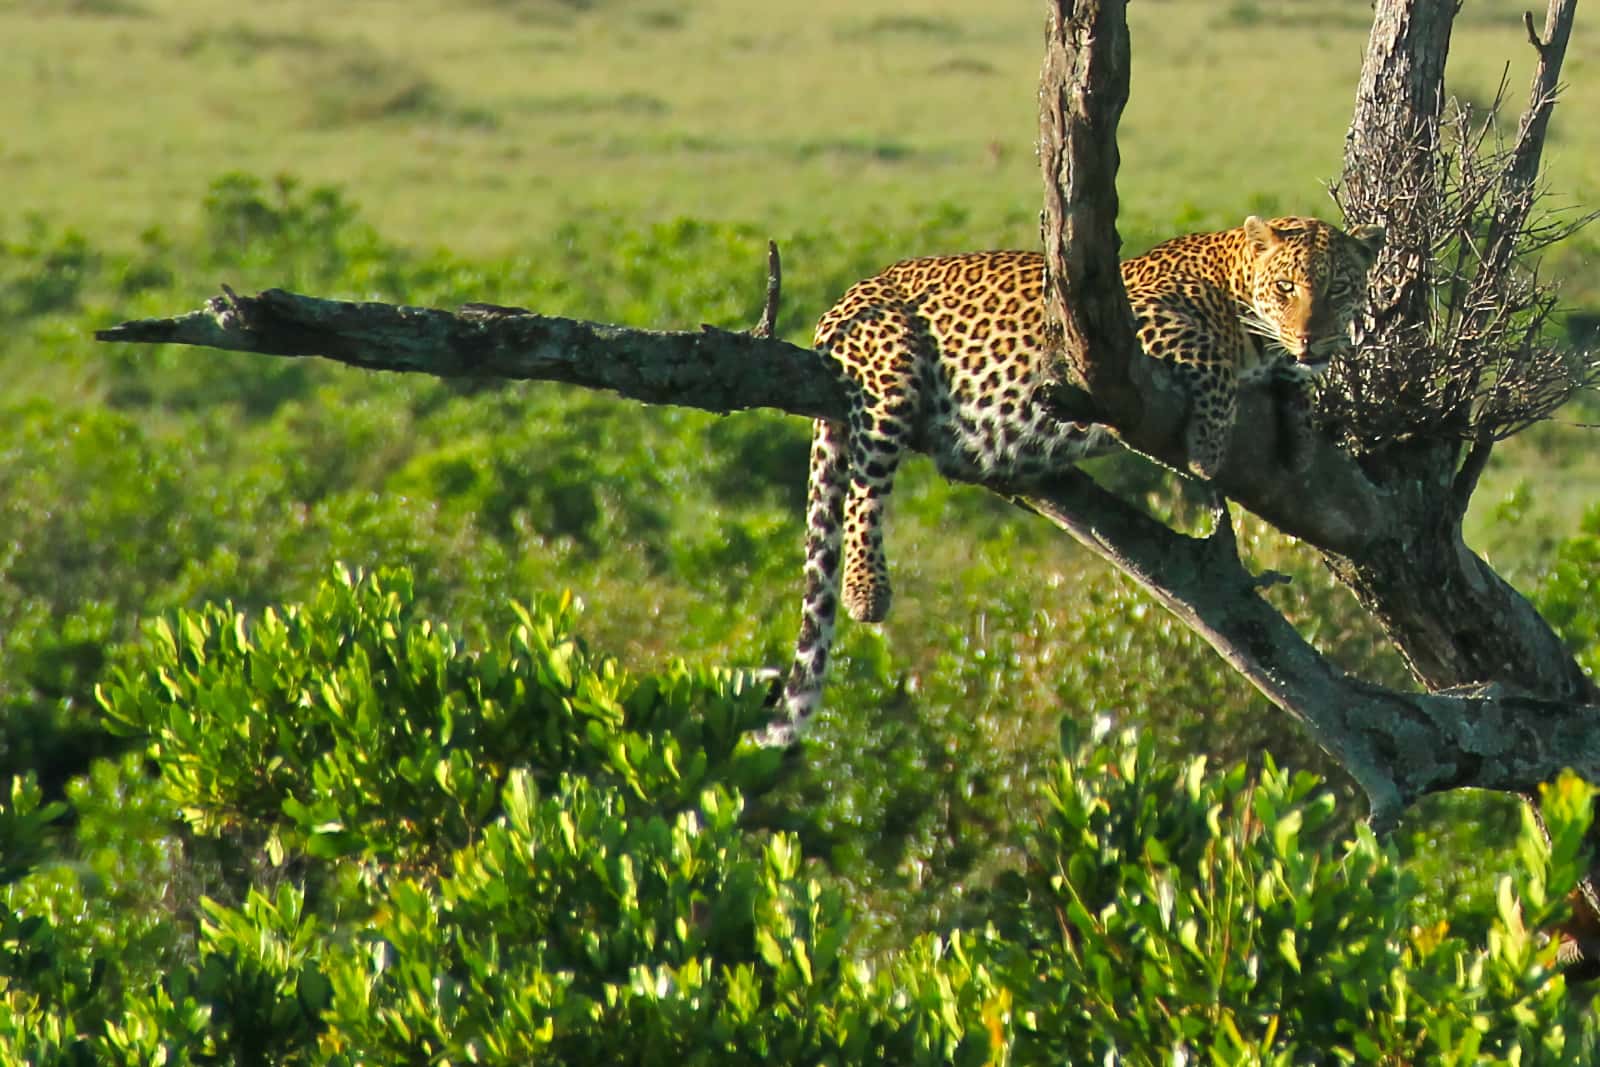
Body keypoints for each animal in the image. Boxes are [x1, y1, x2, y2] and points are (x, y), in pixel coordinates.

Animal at [755, 217, 1382, 748]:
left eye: (1338, 291)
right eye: (1286, 288)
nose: (1312, 338)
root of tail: (844, 298)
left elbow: (1296, 389)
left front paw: (1300, 428)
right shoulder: (1134, 325)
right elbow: (1210, 349)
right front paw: (1210, 441)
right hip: (890, 366)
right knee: (864, 488)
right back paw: (867, 591)